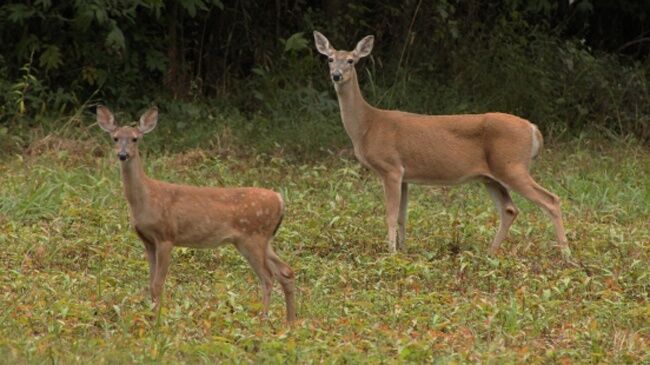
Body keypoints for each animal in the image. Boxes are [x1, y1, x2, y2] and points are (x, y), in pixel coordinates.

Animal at [96, 105, 296, 322]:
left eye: (135, 139)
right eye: (115, 138)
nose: (123, 154)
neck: (146, 199)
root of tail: (279, 199)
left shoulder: (166, 236)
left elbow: (158, 284)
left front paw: (158, 319)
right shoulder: (147, 240)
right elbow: (150, 284)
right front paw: (151, 315)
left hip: (253, 236)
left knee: (268, 277)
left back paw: (263, 319)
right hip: (261, 240)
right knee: (286, 271)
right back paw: (290, 322)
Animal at [312, 30, 564, 253]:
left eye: (351, 60)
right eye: (330, 59)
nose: (336, 75)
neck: (367, 125)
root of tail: (533, 129)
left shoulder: (390, 167)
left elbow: (390, 215)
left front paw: (390, 253)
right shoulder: (404, 175)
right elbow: (402, 216)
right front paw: (403, 251)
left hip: (512, 165)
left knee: (551, 200)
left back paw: (565, 255)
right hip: (491, 176)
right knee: (509, 209)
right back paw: (490, 253)